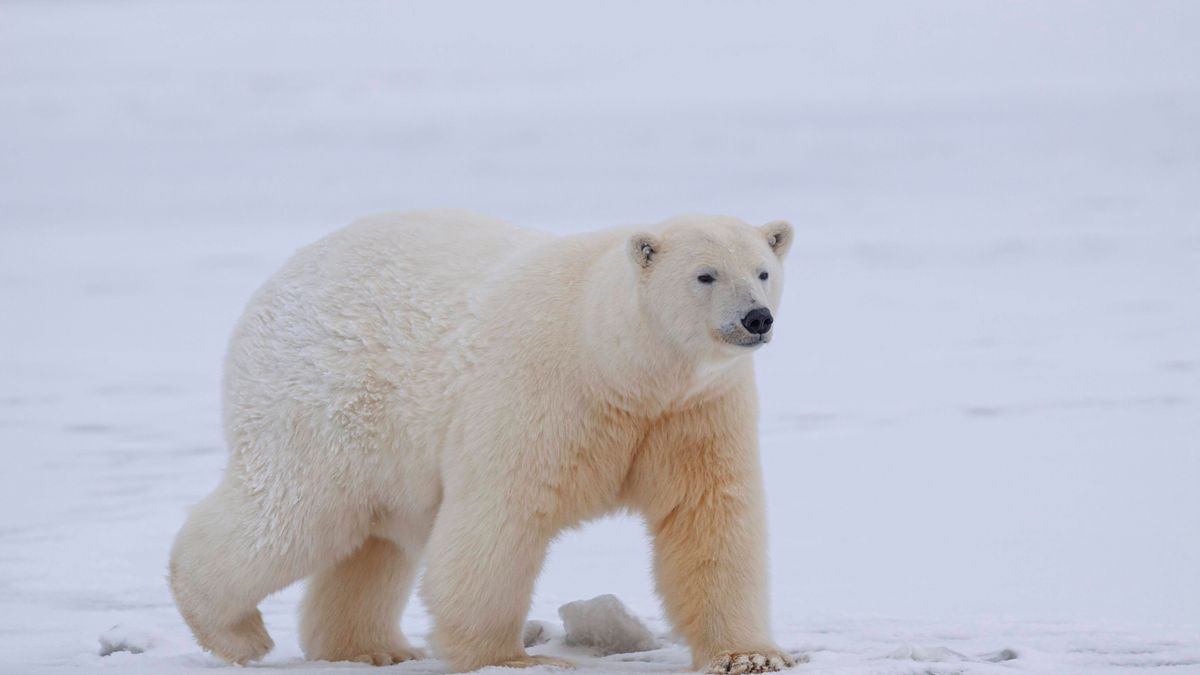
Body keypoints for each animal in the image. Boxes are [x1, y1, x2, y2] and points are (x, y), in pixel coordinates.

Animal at [164, 207, 792, 667]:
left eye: (763, 270)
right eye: (705, 274)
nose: (757, 318)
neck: (619, 366)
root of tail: (278, 281)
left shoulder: (692, 412)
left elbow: (709, 516)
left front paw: (750, 656)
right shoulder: (544, 392)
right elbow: (500, 516)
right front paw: (510, 658)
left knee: (370, 545)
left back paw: (373, 648)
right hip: (328, 404)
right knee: (294, 514)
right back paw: (233, 630)